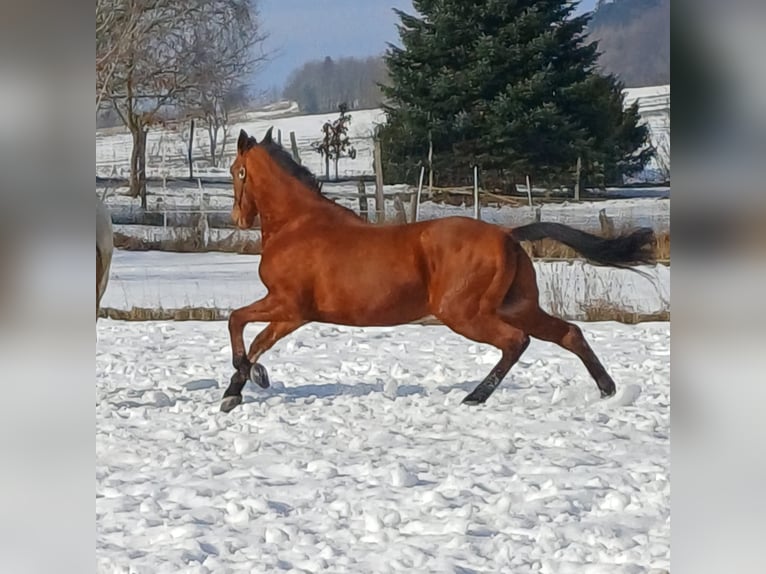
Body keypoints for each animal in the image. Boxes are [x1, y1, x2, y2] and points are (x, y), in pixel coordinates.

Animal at [220, 127, 654, 413]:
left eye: (234, 170)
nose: (237, 218)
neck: (298, 224)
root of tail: (507, 235)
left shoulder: (288, 304)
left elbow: (236, 321)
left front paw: (243, 382)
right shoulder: (293, 313)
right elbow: (257, 341)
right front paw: (242, 386)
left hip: (463, 312)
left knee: (516, 341)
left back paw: (475, 396)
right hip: (516, 305)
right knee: (568, 333)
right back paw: (608, 390)